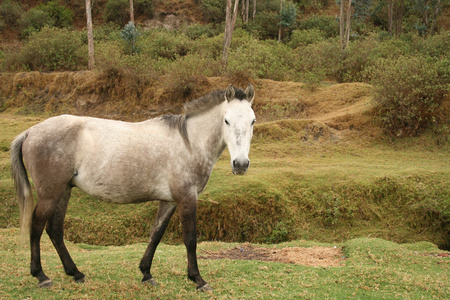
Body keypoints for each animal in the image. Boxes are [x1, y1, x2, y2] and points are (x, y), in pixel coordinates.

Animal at [10, 84, 255, 290]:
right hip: (50, 194)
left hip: (64, 190)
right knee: (37, 227)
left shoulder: (169, 200)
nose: (241, 164)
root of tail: (30, 132)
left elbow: (156, 234)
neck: (189, 143)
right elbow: (190, 238)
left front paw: (146, 273)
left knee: (55, 230)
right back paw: (41, 276)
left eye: (252, 121)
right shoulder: (187, 198)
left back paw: (75, 273)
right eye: (226, 120)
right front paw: (198, 279)